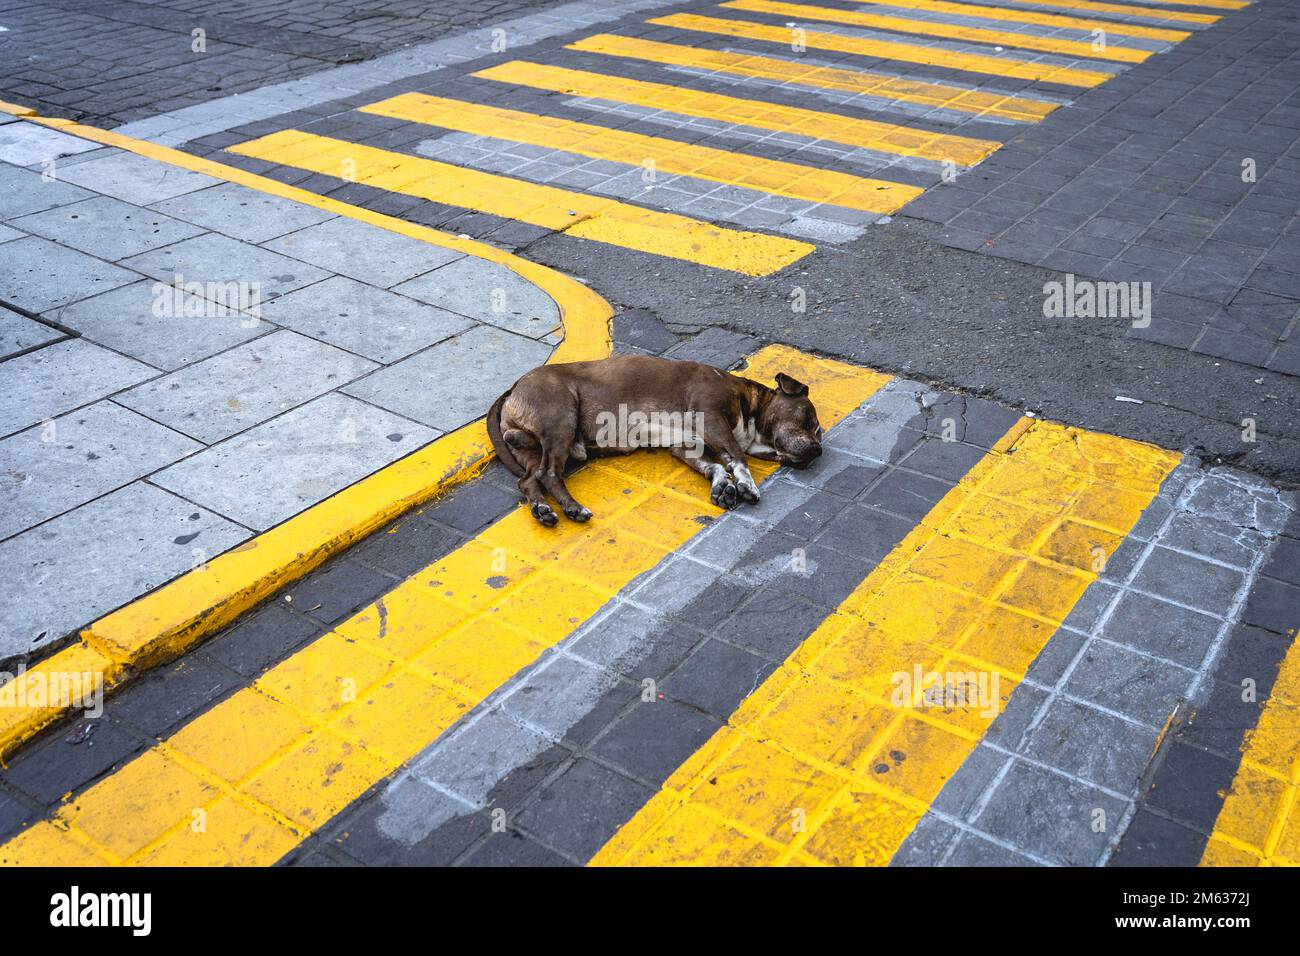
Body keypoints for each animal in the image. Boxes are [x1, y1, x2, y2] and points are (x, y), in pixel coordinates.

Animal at [483, 356, 816, 528]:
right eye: (810, 420)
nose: (818, 450)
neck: (749, 405)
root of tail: (513, 388)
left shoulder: (686, 445)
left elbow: (714, 466)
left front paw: (723, 484)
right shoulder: (711, 416)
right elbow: (736, 456)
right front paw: (746, 484)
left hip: (531, 449)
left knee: (529, 479)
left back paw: (542, 508)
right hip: (560, 420)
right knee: (549, 473)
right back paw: (573, 508)